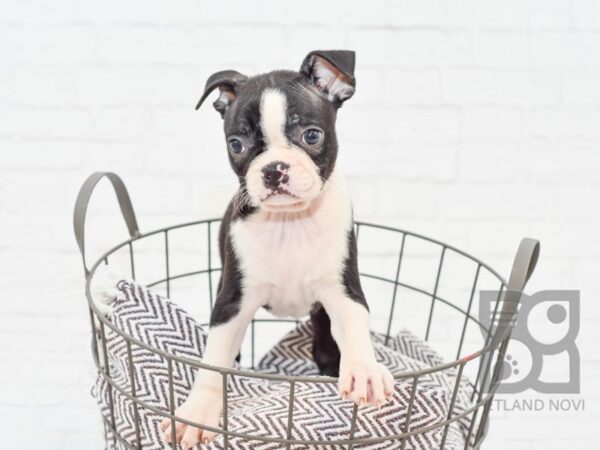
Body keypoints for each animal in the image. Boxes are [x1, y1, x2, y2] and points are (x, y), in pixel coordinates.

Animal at [161, 51, 394, 448]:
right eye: (236, 144)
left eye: (311, 135)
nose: (273, 170)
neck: (290, 222)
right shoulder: (232, 303)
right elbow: (213, 360)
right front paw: (197, 413)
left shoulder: (343, 291)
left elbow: (354, 323)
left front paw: (364, 371)